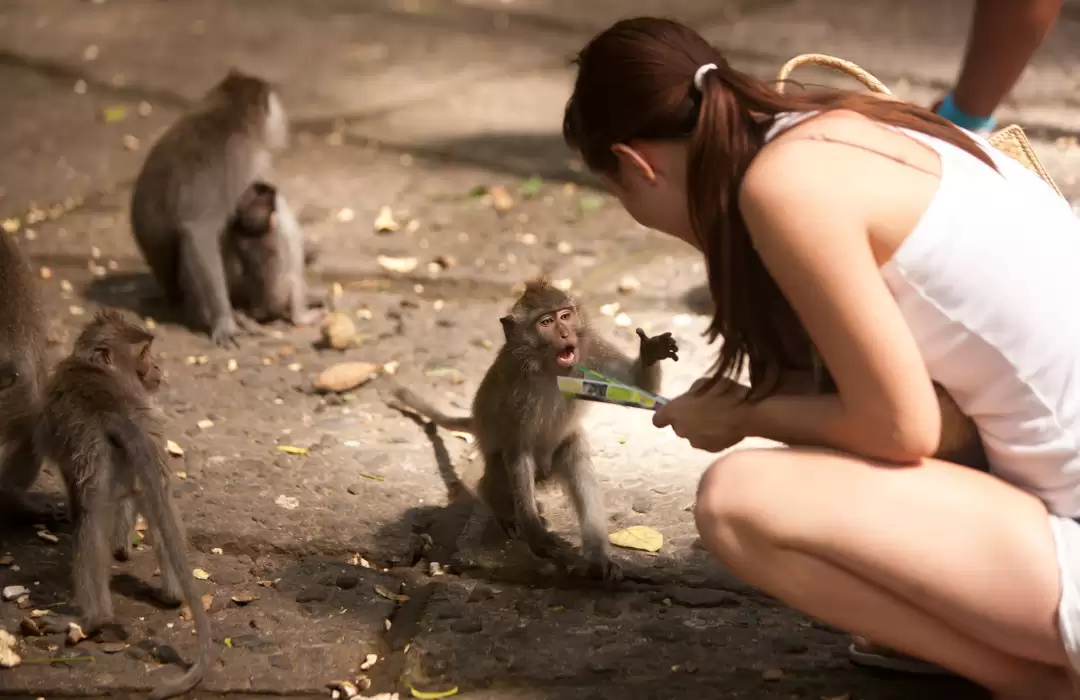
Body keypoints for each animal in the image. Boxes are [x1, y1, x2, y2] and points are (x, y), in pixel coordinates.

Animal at [34, 310, 213, 700]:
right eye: (145, 353)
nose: (158, 368)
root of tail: (119, 414)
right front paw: (122, 548)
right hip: (147, 445)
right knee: (161, 507)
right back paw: (172, 596)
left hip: (96, 453)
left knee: (87, 518)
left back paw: (92, 619)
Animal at [388, 278, 680, 582]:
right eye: (546, 322)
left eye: (565, 316)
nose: (565, 333)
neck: (550, 367)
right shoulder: (516, 389)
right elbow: (518, 450)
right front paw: (536, 535)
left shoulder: (592, 349)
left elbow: (637, 386)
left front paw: (651, 351)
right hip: (504, 461)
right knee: (500, 471)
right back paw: (502, 508)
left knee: (575, 456)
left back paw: (597, 557)